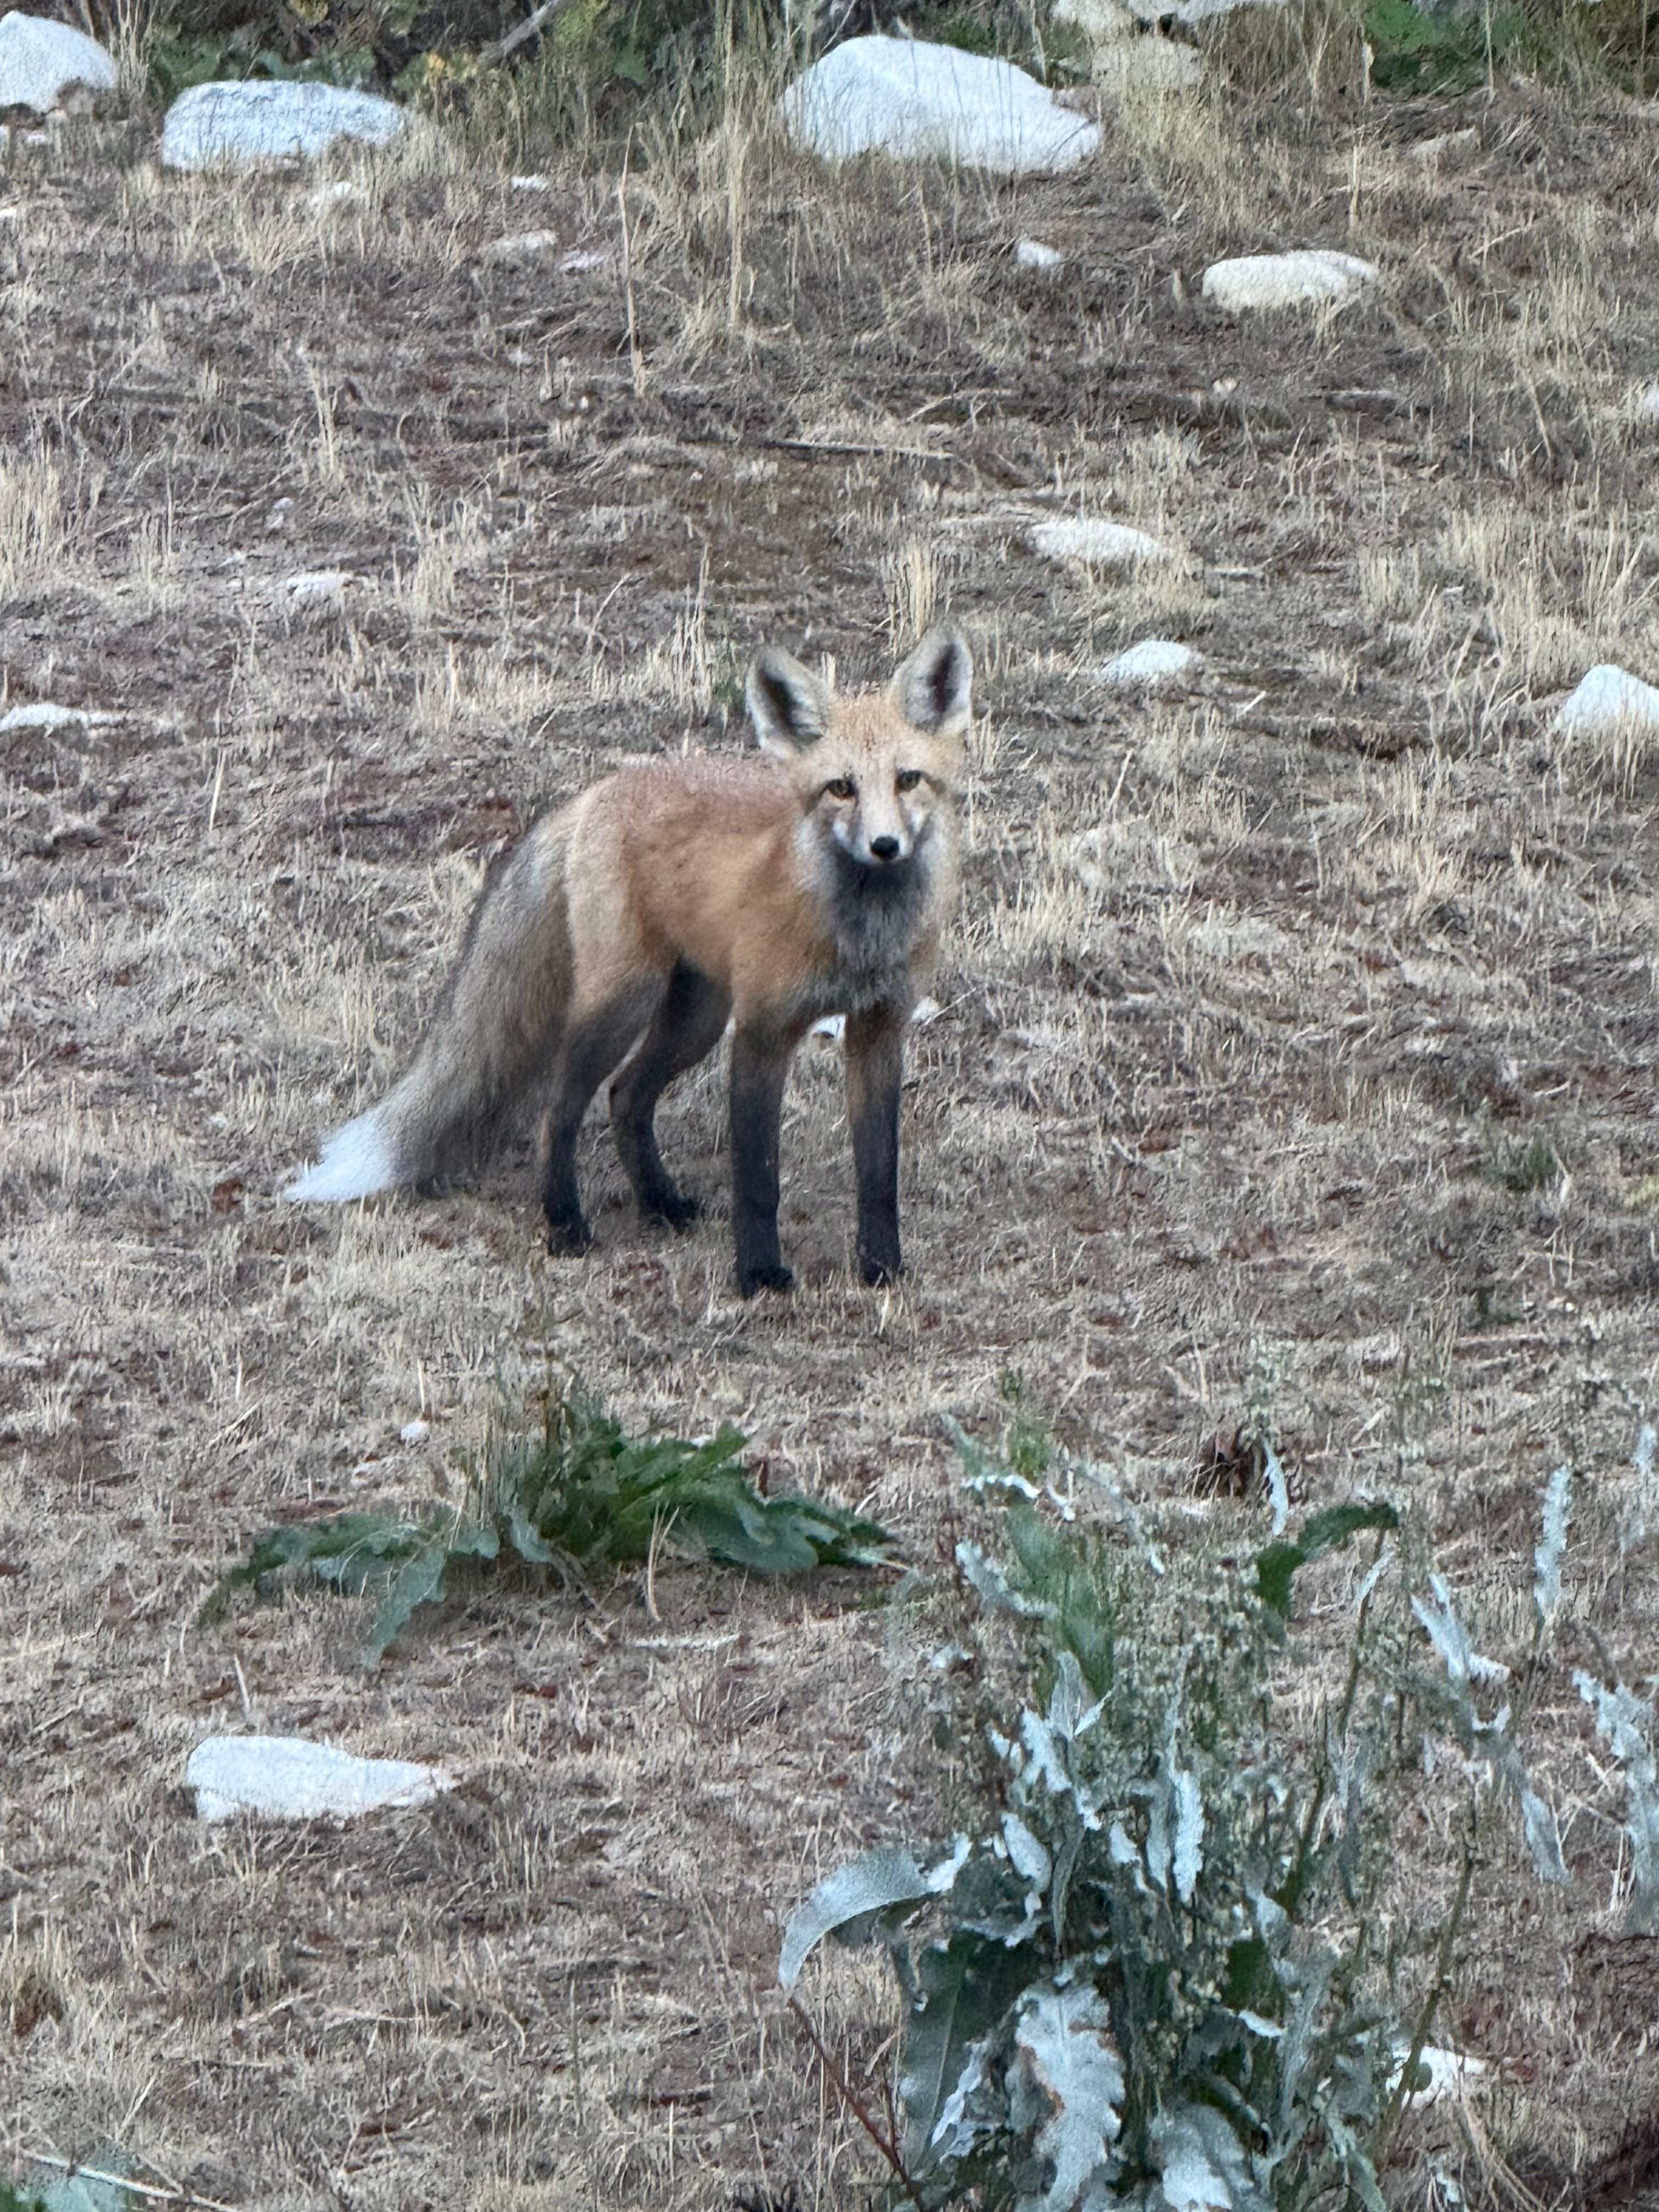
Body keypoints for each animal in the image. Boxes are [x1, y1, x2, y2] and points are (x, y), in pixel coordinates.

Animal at [284, 625, 972, 1297]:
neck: (858, 936)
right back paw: (566, 1226)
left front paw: (882, 1269)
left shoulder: (879, 1030)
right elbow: (758, 1177)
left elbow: (879, 1174)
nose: (885, 846)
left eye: (908, 779)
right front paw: (757, 1275)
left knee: (625, 1097)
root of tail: (597, 792)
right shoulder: (762, 1029)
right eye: (841, 789)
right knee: (559, 1111)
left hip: (695, 1017)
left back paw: (661, 1203)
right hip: (624, 1003)